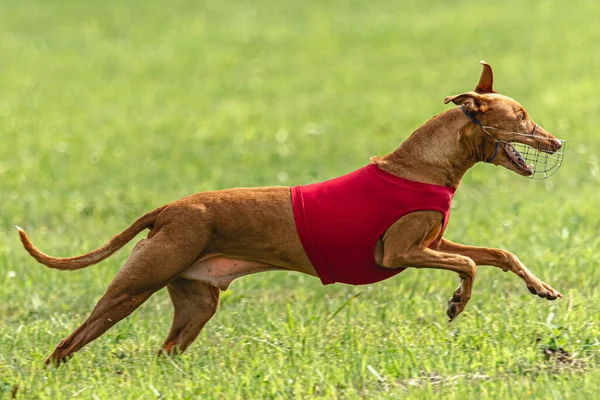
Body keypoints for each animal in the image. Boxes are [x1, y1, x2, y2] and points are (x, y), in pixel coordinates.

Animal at [17, 61, 564, 364]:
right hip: (131, 289)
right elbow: (470, 265)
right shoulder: (398, 252)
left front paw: (541, 288)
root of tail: (168, 209)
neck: (420, 167)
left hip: (196, 303)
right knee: (65, 346)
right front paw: (457, 303)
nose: (558, 142)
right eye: (523, 118)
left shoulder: (434, 243)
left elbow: (498, 253)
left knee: (162, 353)